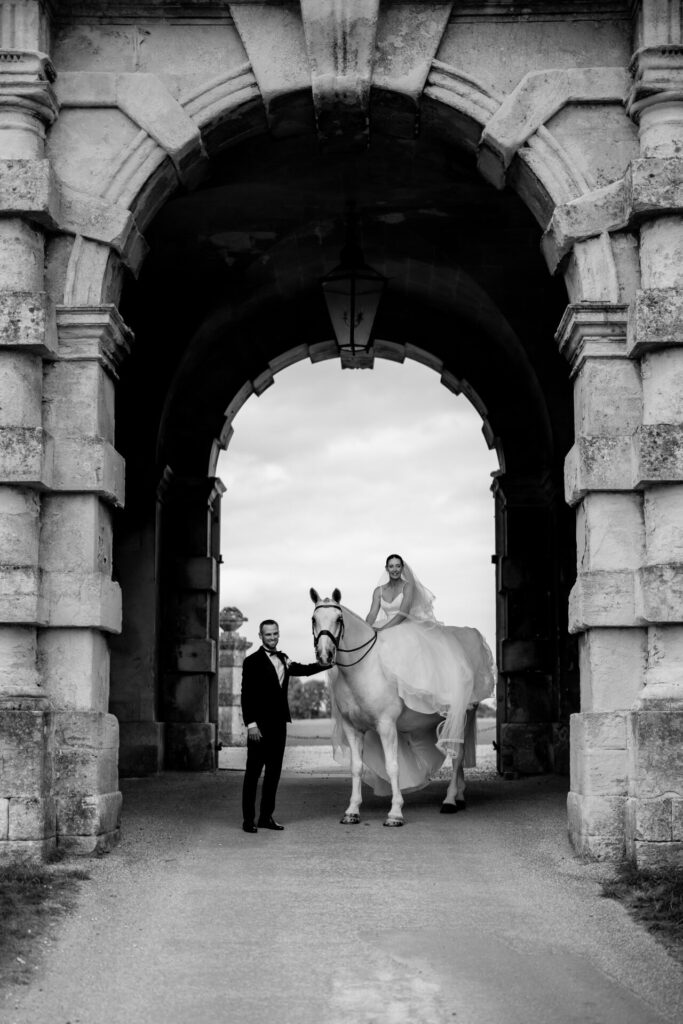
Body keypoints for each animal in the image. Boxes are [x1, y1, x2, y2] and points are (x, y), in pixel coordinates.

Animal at [310, 588, 487, 827]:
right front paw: (352, 811)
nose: (324, 655)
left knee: (457, 755)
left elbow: (392, 766)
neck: (363, 667)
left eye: (339, 619)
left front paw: (395, 813)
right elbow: (356, 768)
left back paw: (450, 800)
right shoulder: (351, 728)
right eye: (314, 619)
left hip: (461, 713)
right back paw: (459, 797)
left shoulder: (386, 725)